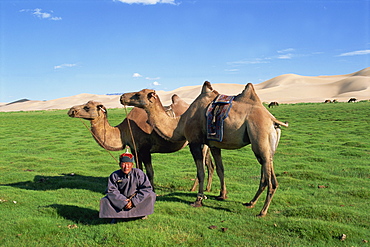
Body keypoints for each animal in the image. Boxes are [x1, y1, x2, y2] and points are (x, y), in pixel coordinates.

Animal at [67, 97, 214, 191]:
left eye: (87, 107)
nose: (71, 110)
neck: (124, 130)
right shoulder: (134, 149)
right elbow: (139, 169)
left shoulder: (144, 149)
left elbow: (150, 172)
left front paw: (152, 190)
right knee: (210, 164)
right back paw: (207, 189)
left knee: (202, 165)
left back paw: (194, 189)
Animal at [121, 80, 290, 216]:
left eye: (137, 94)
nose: (122, 96)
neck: (179, 124)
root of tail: (273, 120)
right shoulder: (214, 144)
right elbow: (221, 169)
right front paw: (222, 195)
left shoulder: (195, 142)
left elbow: (201, 172)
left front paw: (198, 200)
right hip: (268, 146)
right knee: (266, 172)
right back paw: (250, 202)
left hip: (260, 136)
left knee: (270, 179)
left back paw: (262, 211)